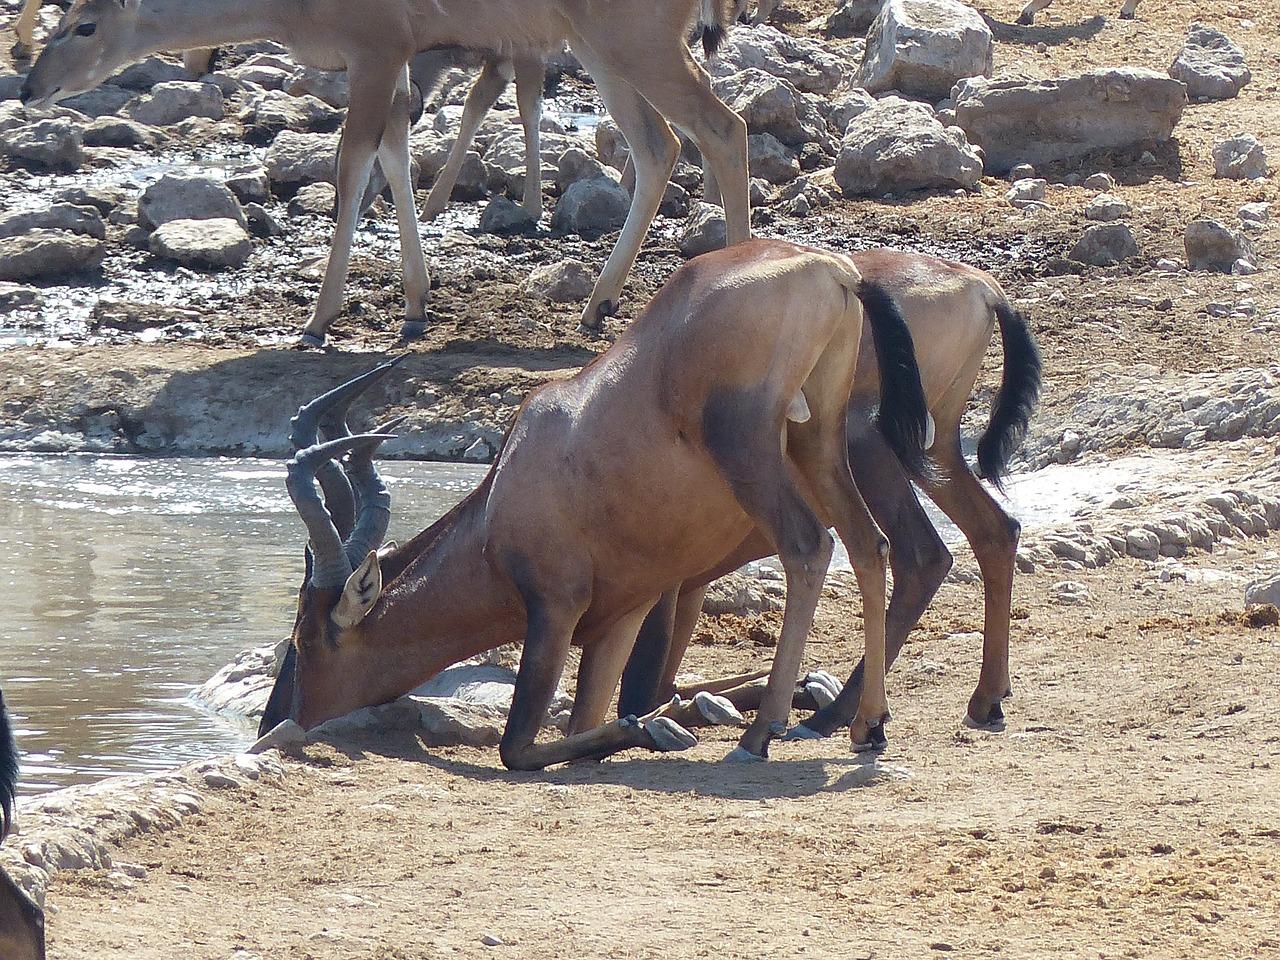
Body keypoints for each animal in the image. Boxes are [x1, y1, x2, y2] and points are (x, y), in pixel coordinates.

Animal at [20, 0, 747, 350]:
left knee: (722, 127)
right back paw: (598, 304)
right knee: (659, 145)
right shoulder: (393, 60)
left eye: (85, 25)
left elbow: (351, 166)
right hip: (600, 45)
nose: (30, 87)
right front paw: (416, 305)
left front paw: (318, 320)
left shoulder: (373, 50)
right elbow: (393, 154)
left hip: (632, 42)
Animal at [262, 239, 931, 768]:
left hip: (749, 449)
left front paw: (659, 727)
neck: (511, 481)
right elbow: (586, 722)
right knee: (869, 544)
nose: (274, 726)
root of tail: (832, 269)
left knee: (809, 546)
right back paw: (865, 726)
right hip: (819, 441)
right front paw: (659, 721)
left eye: (305, 639)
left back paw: (761, 733)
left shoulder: (555, 609)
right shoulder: (618, 620)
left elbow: (518, 747)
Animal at [614, 248, 1044, 737]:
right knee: (995, 530)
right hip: (936, 449)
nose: (633, 703)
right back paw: (985, 698)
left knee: (918, 554)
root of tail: (981, 287)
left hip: (872, 444)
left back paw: (841, 715)